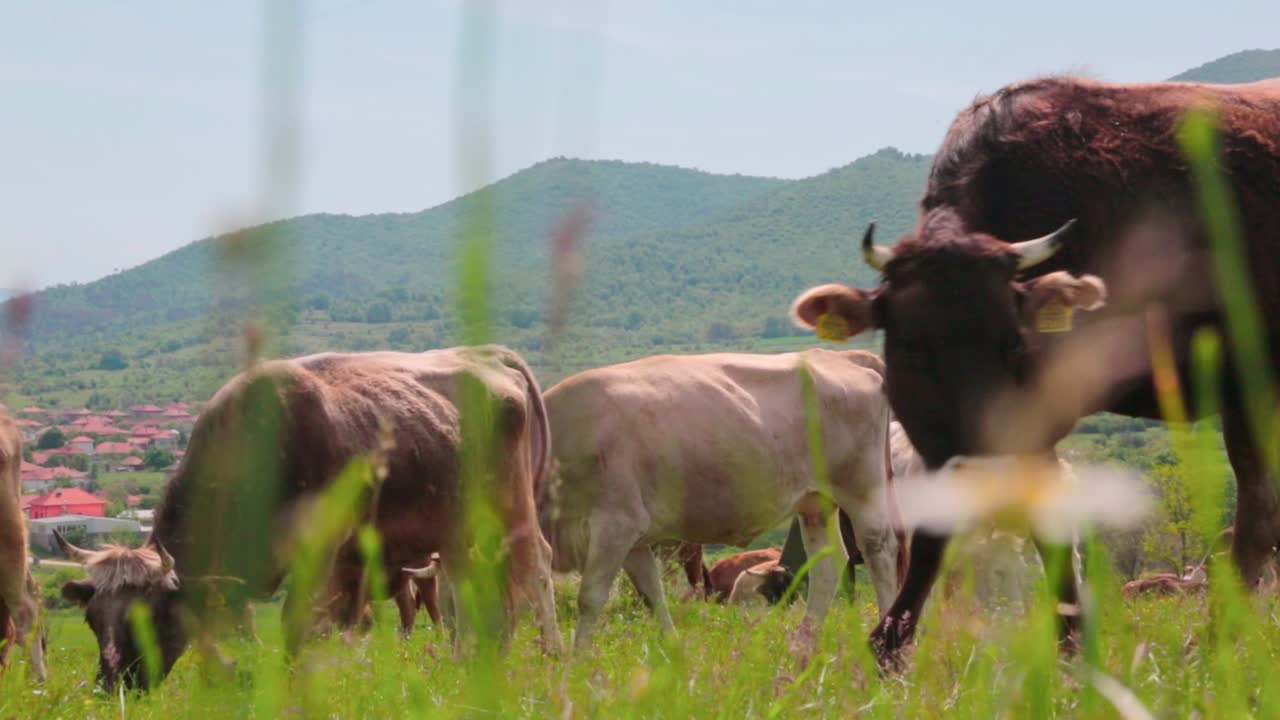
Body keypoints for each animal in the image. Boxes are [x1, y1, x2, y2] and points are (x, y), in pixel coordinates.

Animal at [56, 346, 562, 690]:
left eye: (147, 618)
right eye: (92, 620)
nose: (110, 687)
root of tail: (487, 354)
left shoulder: (320, 546)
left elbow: (300, 624)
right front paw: (232, 675)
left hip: (513, 504)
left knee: (537, 566)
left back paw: (553, 654)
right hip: (453, 526)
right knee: (465, 584)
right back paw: (462, 665)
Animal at [538, 349, 899, 649]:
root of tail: (837, 356)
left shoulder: (614, 524)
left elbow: (590, 597)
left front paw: (577, 661)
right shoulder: (633, 539)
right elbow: (653, 595)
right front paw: (674, 651)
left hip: (862, 491)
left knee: (879, 553)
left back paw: (885, 642)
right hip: (815, 503)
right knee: (827, 565)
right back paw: (803, 644)